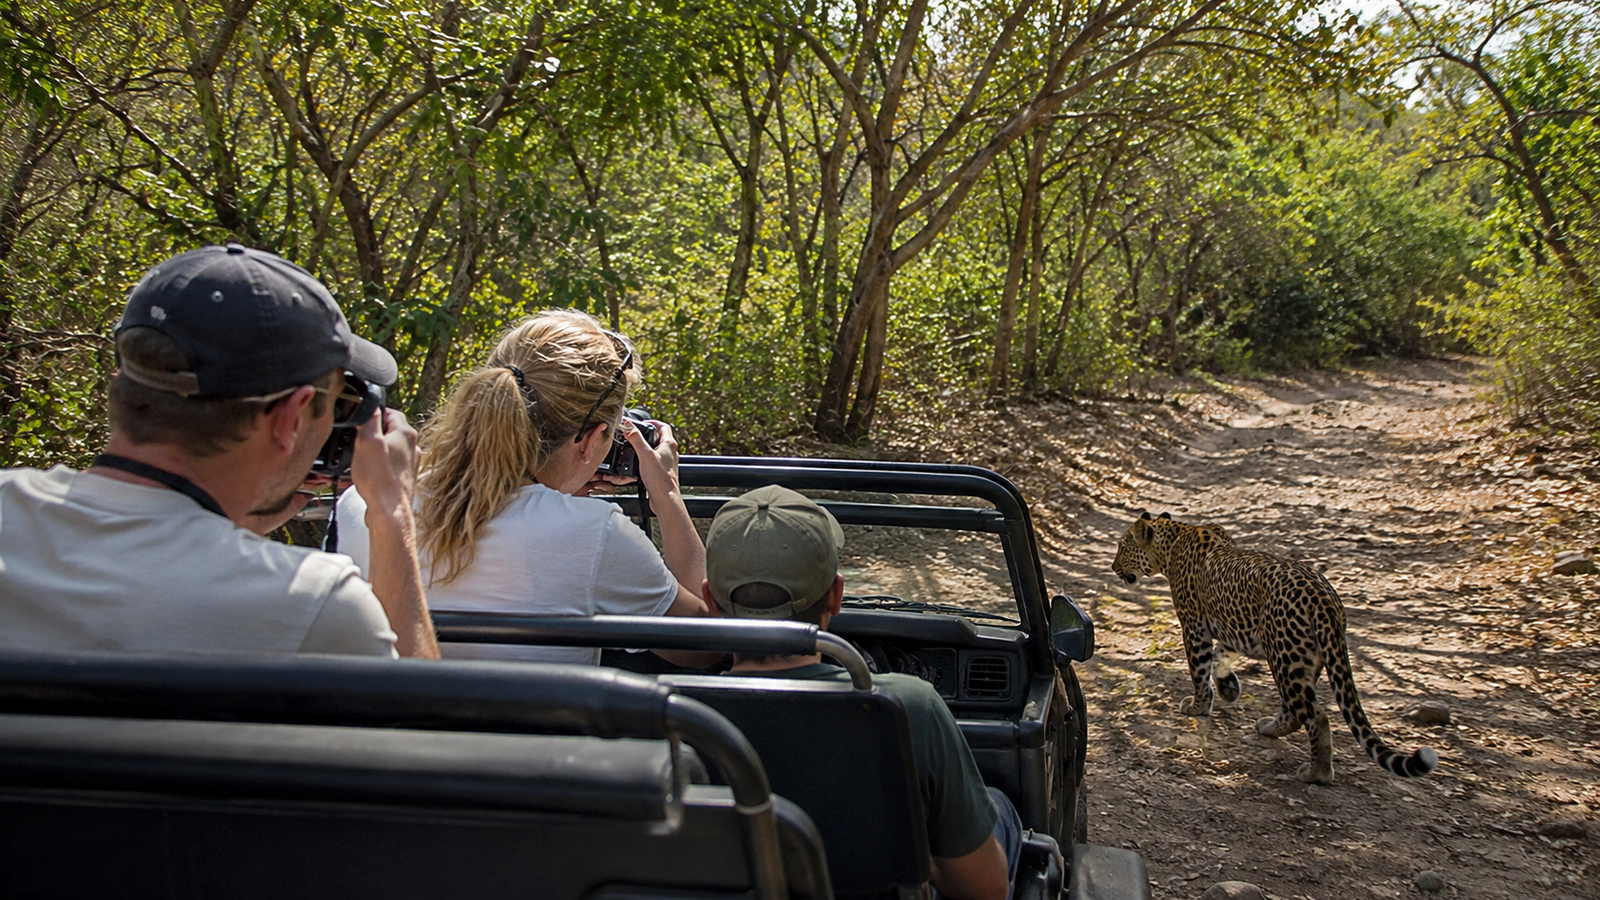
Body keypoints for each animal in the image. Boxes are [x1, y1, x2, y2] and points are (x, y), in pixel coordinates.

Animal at [1112, 511, 1437, 785]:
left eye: (1122, 547)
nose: (1114, 568)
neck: (1173, 540)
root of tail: (1323, 597)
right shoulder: (1236, 627)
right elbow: (1220, 657)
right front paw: (1228, 687)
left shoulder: (1194, 626)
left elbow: (1199, 669)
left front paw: (1198, 706)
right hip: (1301, 658)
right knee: (1295, 710)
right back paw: (1270, 728)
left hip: (1285, 656)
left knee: (1315, 715)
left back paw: (1317, 773)